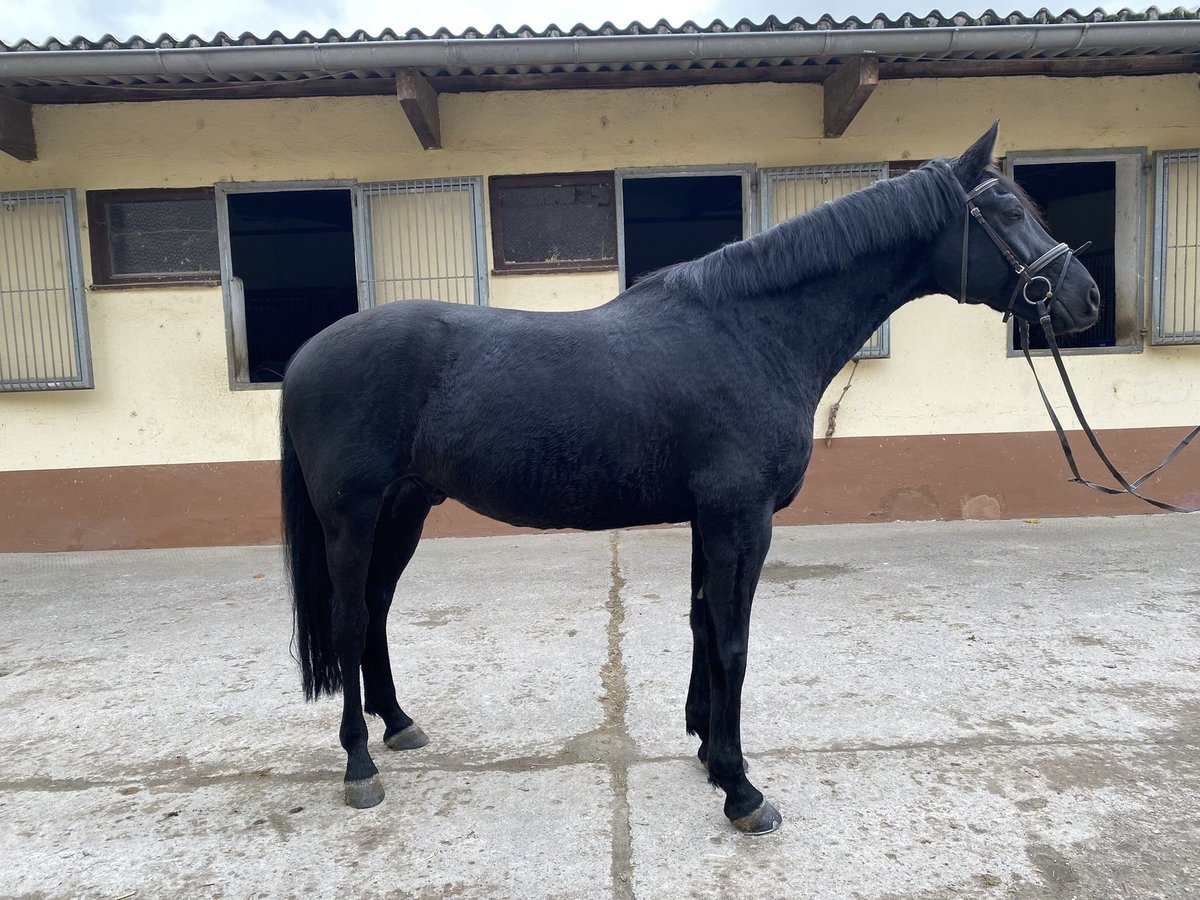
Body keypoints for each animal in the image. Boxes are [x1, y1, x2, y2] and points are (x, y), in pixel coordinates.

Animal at [279, 123, 1100, 834]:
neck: (752, 334)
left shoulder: (713, 518)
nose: (1084, 297)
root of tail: (305, 357)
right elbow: (734, 639)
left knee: (376, 611)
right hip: (353, 517)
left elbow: (706, 623)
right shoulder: (744, 516)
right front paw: (742, 789)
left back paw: (399, 724)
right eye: (1004, 212)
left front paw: (707, 749)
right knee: (349, 619)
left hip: (405, 509)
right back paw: (359, 766)